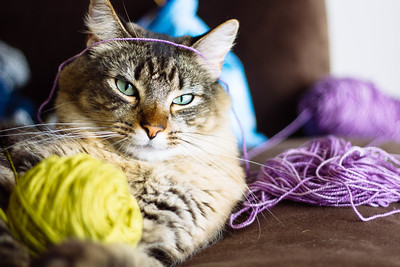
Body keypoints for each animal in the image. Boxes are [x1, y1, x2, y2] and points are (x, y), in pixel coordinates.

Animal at [0, 0, 247, 266]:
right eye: (125, 87)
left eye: (183, 99)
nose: (153, 129)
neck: (135, 170)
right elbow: (8, 241)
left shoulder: (162, 238)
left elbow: (119, 255)